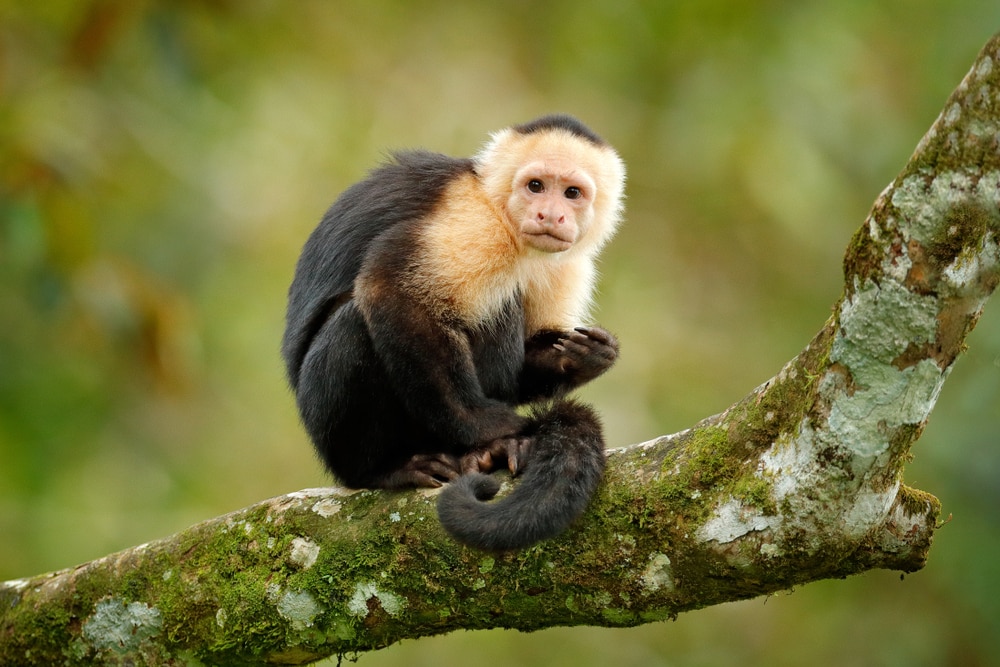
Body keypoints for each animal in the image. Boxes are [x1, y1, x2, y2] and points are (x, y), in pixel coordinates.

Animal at [281, 114, 625, 551]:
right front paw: (492, 428)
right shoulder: (474, 223)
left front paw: (583, 359)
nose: (551, 215)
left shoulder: (568, 264)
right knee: (357, 324)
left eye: (572, 193)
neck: (503, 217)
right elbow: (392, 290)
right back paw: (384, 469)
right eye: (536, 186)